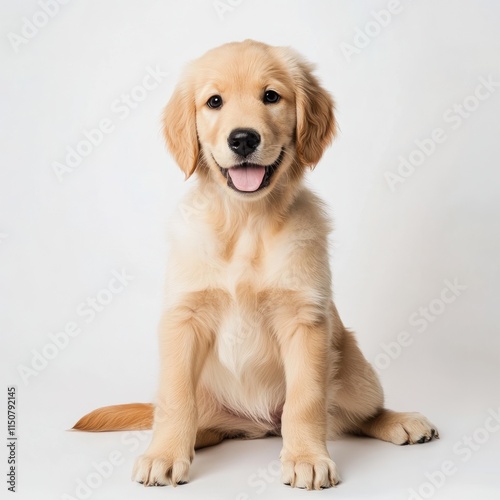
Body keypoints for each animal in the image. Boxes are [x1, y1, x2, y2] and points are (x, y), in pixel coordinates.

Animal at [74, 40, 438, 492]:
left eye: (271, 96)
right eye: (214, 101)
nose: (244, 138)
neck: (245, 222)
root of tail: (258, 425)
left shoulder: (305, 321)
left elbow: (306, 400)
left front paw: (306, 458)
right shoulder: (183, 318)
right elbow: (175, 399)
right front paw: (164, 455)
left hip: (357, 371)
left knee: (353, 415)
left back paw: (401, 421)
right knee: (185, 416)